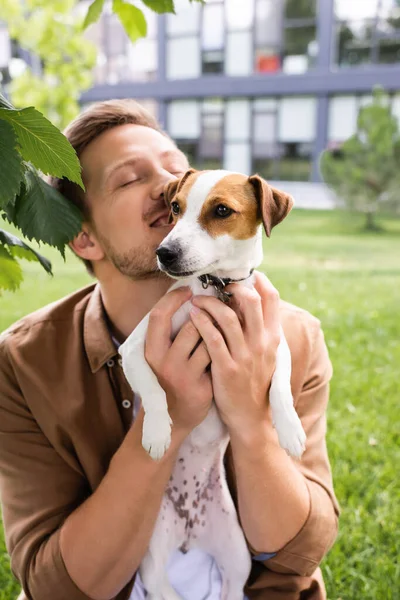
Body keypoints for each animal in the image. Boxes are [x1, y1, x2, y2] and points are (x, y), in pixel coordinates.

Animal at [119, 169, 306, 600]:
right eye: (175, 207)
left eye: (221, 211)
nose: (164, 253)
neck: (217, 287)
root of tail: (191, 533)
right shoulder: (133, 348)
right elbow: (155, 389)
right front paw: (157, 432)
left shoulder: (274, 342)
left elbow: (281, 386)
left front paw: (289, 429)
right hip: (153, 560)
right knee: (164, 589)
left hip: (237, 557)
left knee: (232, 588)